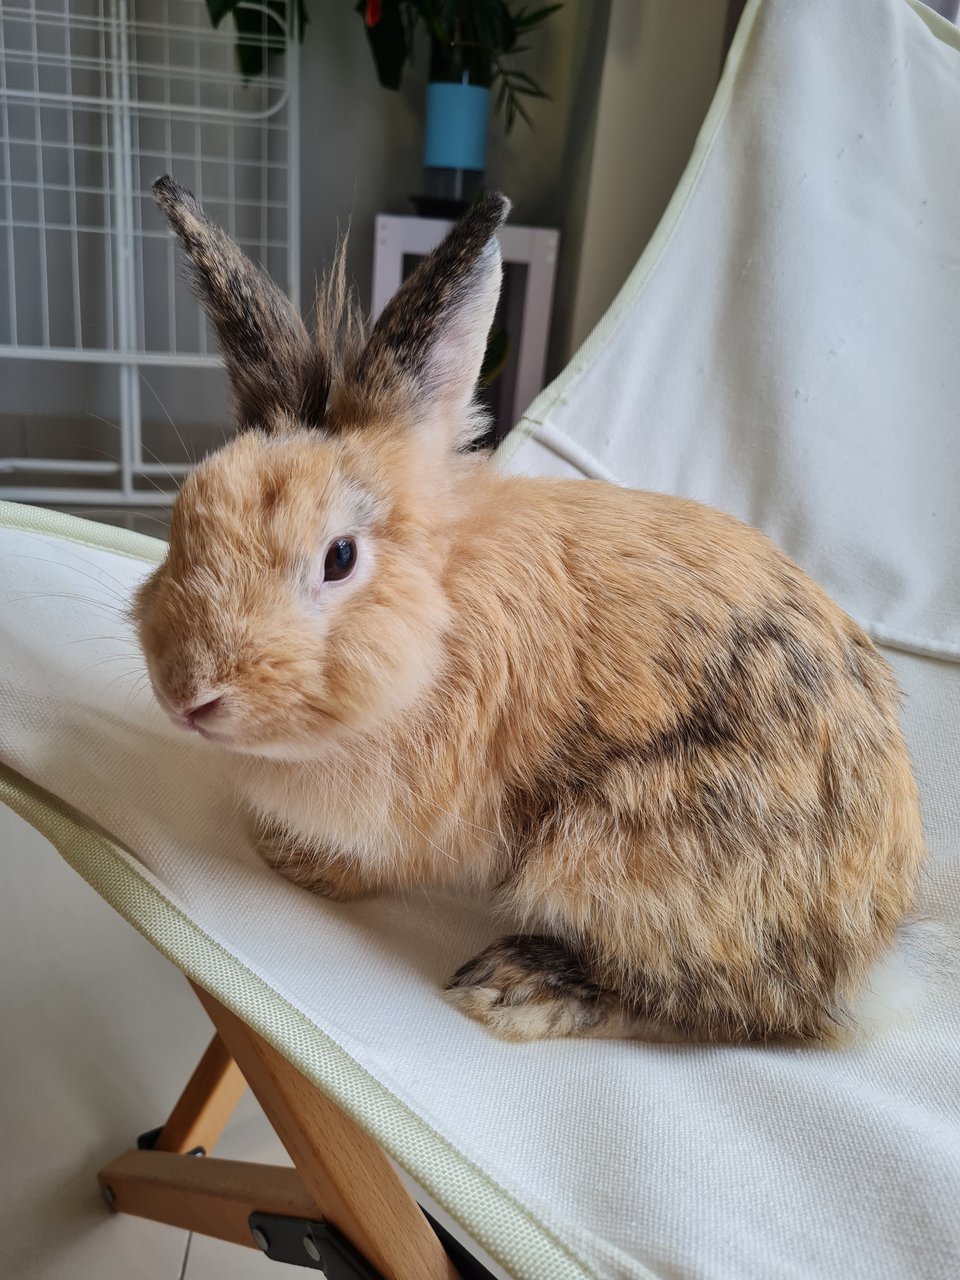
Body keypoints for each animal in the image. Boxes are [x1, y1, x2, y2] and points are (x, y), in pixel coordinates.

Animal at [138, 177, 926, 1039]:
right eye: (184, 519)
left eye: (339, 558)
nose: (188, 695)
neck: (437, 628)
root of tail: (867, 945)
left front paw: (298, 864)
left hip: (616, 850)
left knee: (720, 1000)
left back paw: (518, 985)